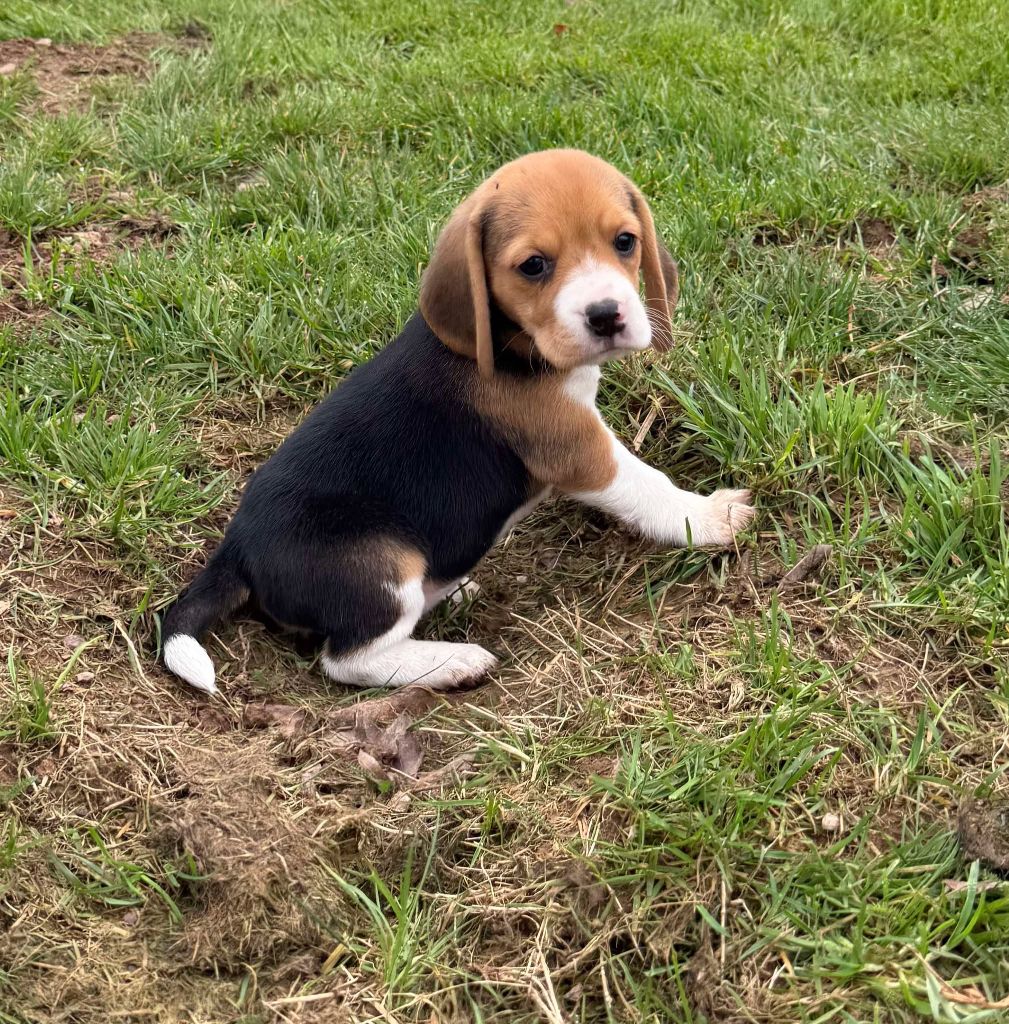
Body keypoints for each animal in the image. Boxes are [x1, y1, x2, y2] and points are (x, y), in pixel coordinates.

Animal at [162, 149, 754, 695]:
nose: (606, 315)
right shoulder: (577, 447)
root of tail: (236, 550)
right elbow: (647, 484)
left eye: (626, 242)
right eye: (533, 265)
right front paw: (708, 518)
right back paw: (451, 661)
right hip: (384, 562)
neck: (514, 342)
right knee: (348, 659)